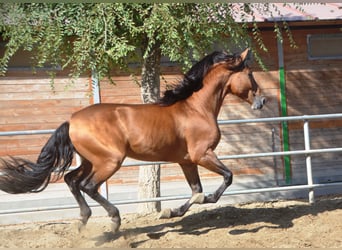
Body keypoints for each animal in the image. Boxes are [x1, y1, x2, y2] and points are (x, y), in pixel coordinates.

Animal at [0, 48, 264, 232]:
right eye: (250, 74)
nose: (261, 101)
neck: (196, 108)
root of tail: (71, 121)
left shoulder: (187, 161)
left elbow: (195, 191)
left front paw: (170, 212)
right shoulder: (203, 154)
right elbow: (226, 178)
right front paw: (203, 200)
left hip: (91, 160)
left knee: (71, 180)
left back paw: (83, 221)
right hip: (110, 161)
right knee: (88, 186)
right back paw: (114, 220)